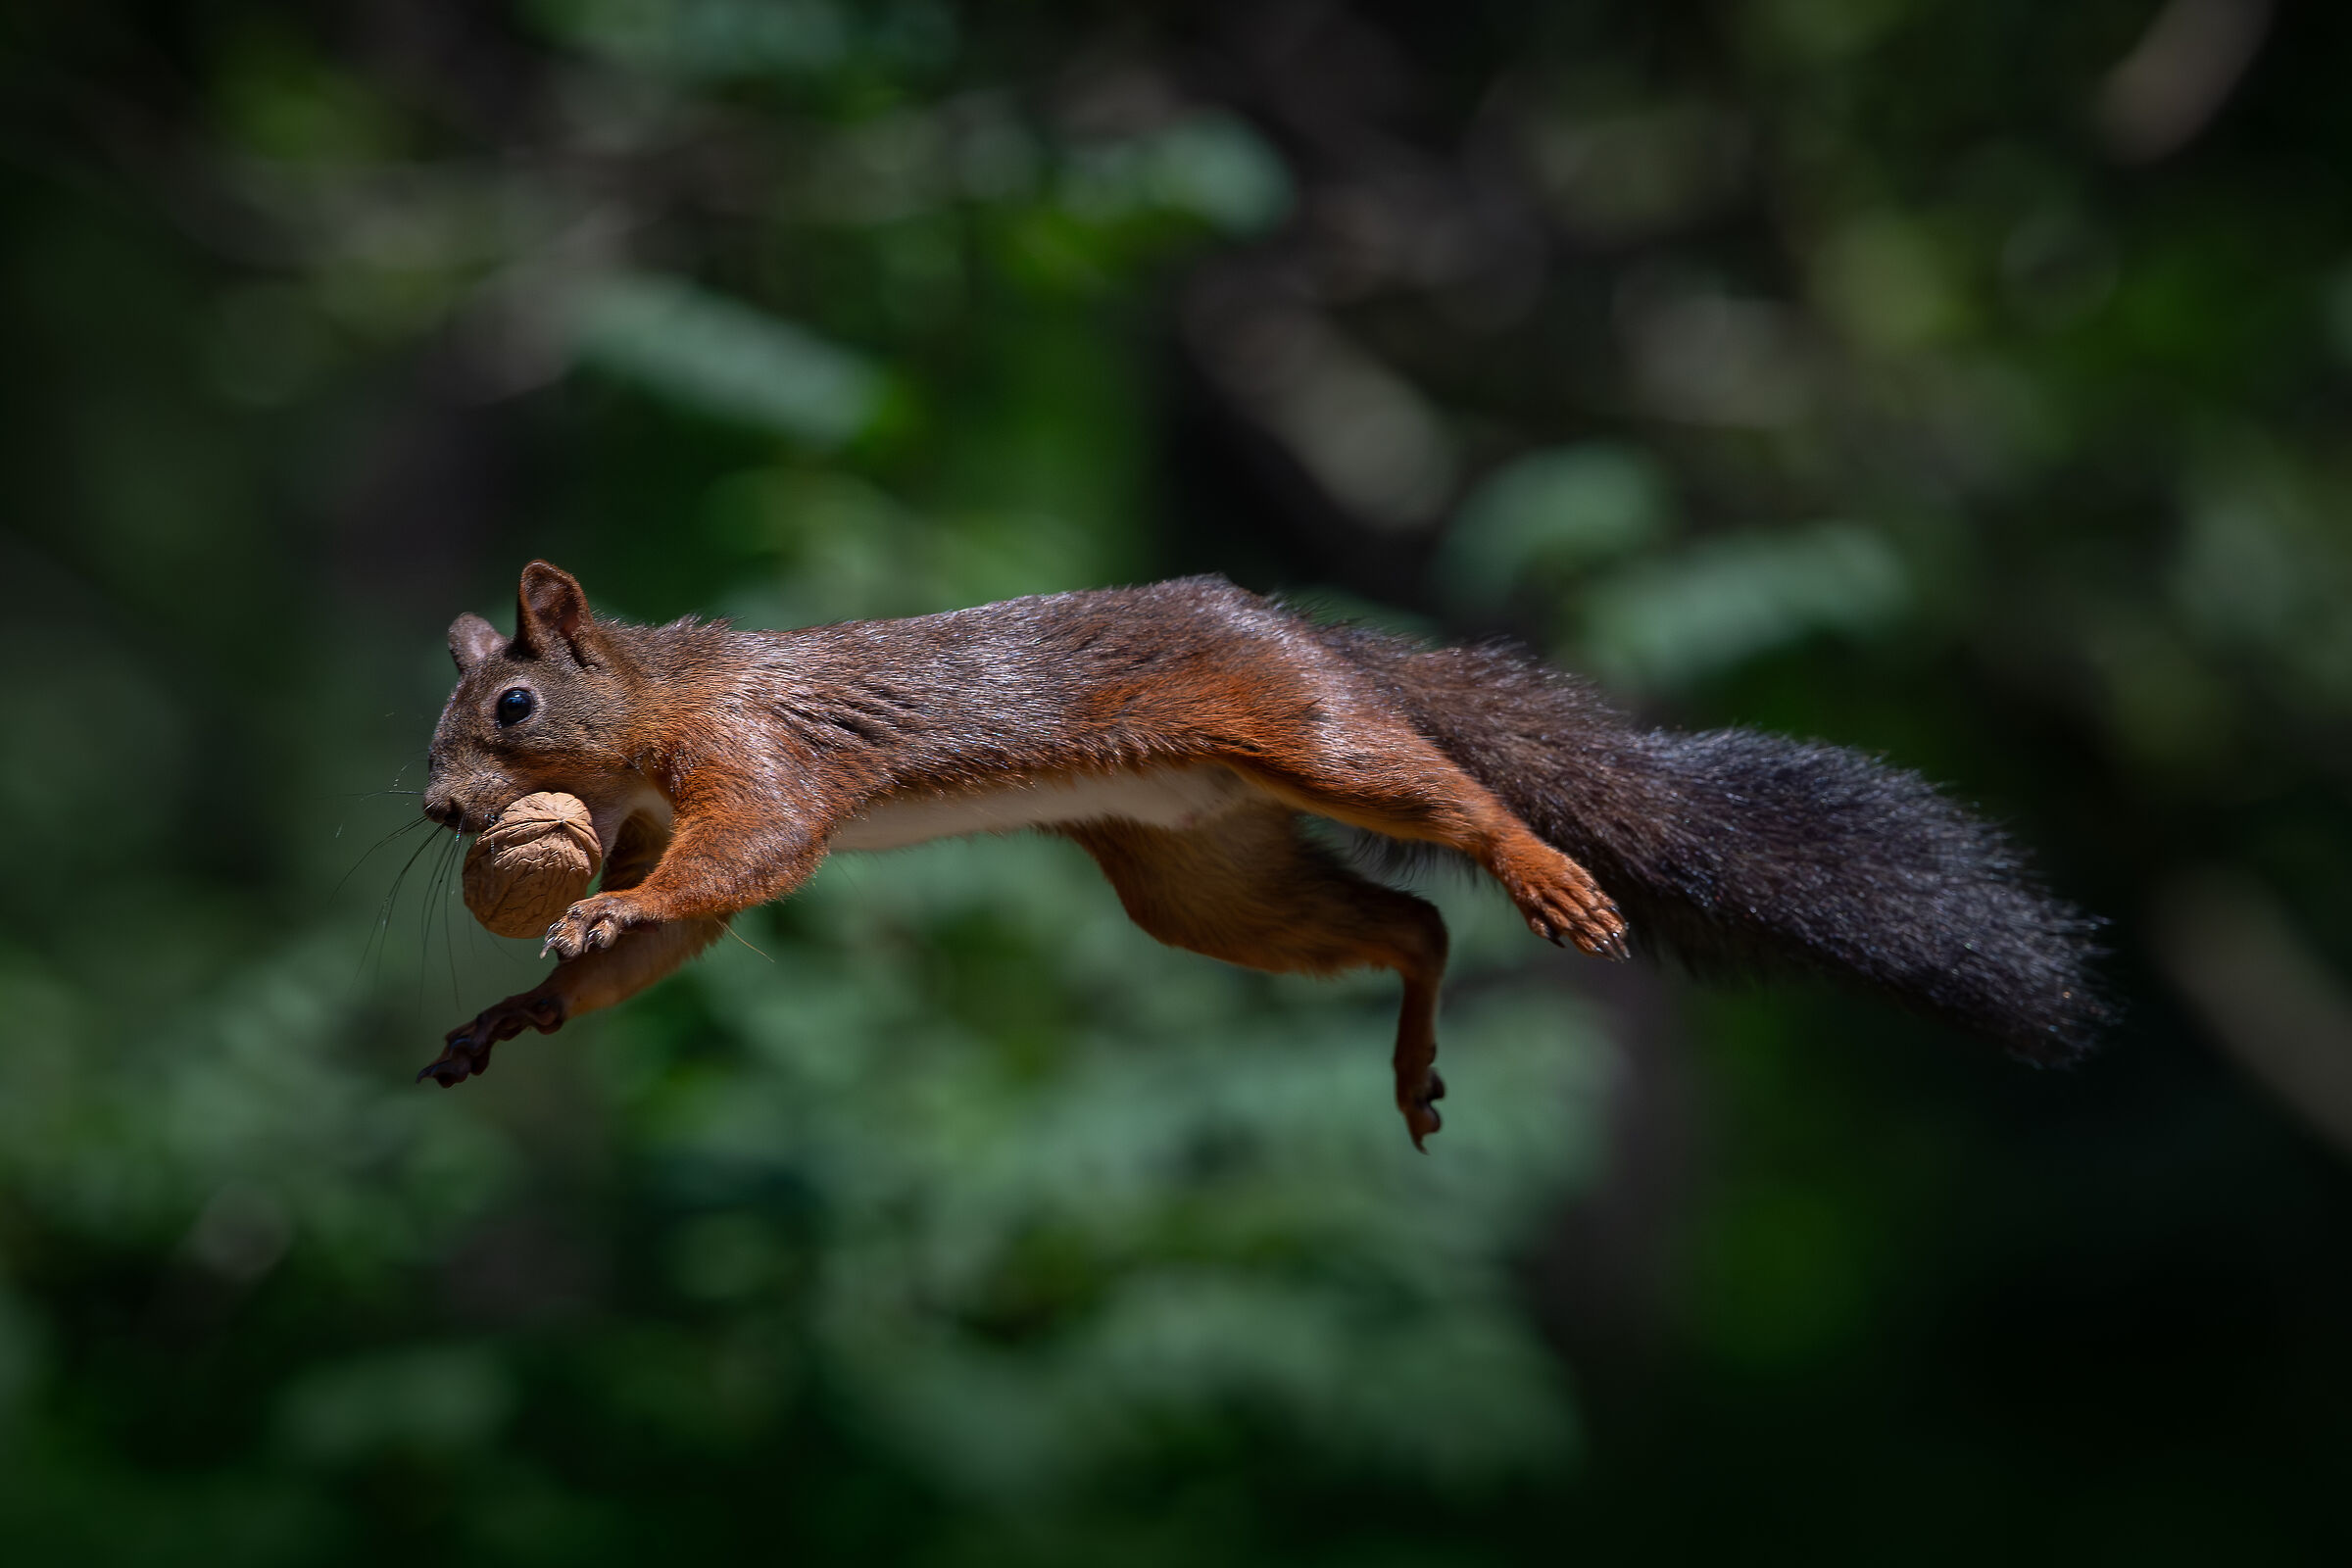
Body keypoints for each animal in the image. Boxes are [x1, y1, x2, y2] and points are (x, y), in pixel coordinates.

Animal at [417, 561, 2106, 1145]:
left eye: (512, 703)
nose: (438, 812)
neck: (656, 701)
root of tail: (1311, 636)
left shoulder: (752, 764)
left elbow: (745, 859)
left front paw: (593, 918)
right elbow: (683, 935)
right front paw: (520, 1008)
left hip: (1310, 744)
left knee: (1453, 807)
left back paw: (1547, 876)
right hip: (1205, 882)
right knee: (1412, 931)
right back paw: (1414, 1063)